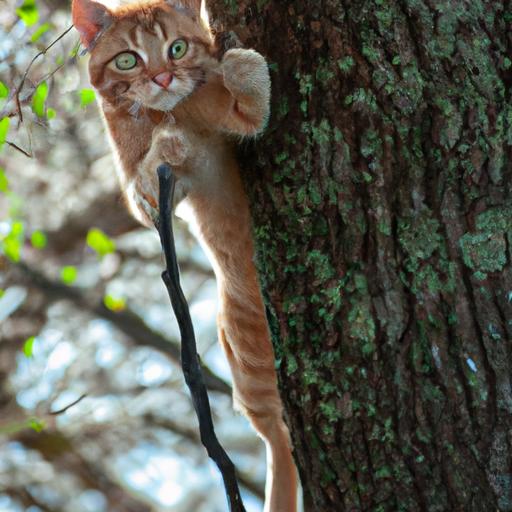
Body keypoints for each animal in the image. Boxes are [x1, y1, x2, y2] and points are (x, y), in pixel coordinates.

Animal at [71, 2, 296, 510]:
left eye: (176, 48)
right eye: (128, 60)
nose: (161, 77)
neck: (176, 111)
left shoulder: (237, 122)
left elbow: (250, 108)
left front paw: (241, 66)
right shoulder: (149, 199)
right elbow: (147, 185)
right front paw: (168, 146)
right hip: (248, 362)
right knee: (276, 437)